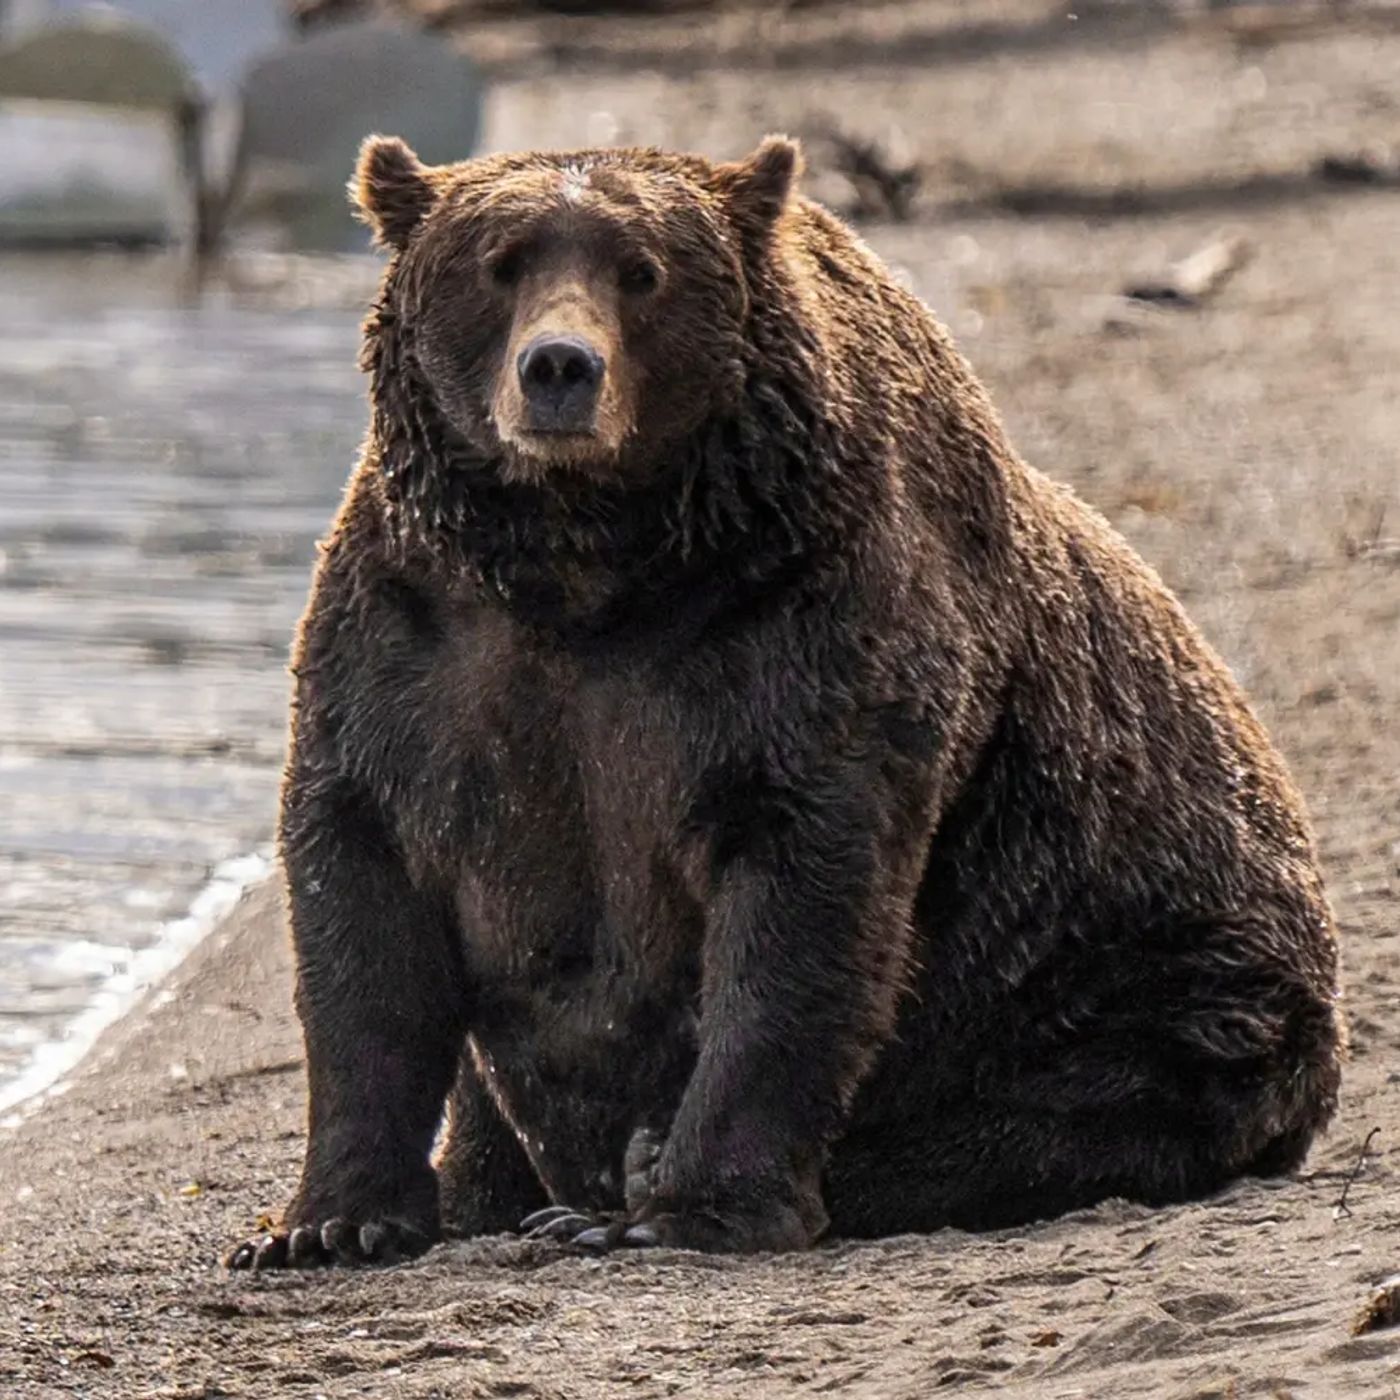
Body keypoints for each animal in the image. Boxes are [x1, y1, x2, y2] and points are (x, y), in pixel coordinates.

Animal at [227, 134, 1343, 1269]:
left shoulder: (798, 626)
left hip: (1145, 964)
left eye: (641, 271)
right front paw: (327, 1221)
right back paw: (503, 1189)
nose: (559, 368)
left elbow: (799, 912)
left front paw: (694, 1203)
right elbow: (362, 904)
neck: (586, 564)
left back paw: (627, 1186)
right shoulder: (415, 641)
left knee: (1065, 1101)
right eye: (500, 263)